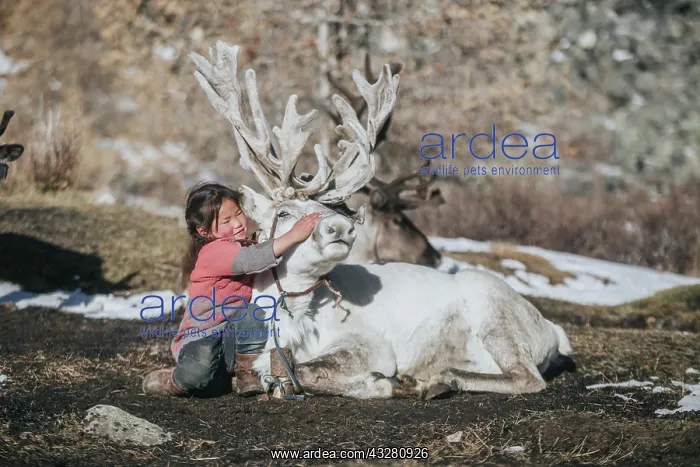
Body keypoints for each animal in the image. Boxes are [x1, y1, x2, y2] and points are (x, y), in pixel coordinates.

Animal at [189, 41, 574, 400]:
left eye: (332, 209)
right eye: (284, 213)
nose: (342, 229)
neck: (294, 318)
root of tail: (551, 329)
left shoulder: (371, 344)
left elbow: (302, 370)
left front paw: (381, 383)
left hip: (496, 316)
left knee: (528, 377)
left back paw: (436, 380)